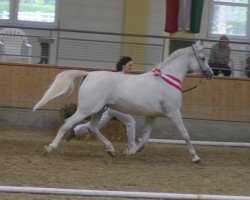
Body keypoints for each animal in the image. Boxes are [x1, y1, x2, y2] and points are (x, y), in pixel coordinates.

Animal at [33, 41, 213, 164]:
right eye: (203, 58)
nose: (210, 73)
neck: (166, 79)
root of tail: (88, 74)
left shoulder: (152, 116)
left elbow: (145, 138)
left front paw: (130, 151)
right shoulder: (174, 113)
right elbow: (185, 134)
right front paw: (196, 158)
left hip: (98, 110)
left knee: (93, 128)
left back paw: (111, 149)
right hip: (86, 109)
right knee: (67, 123)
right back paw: (50, 148)